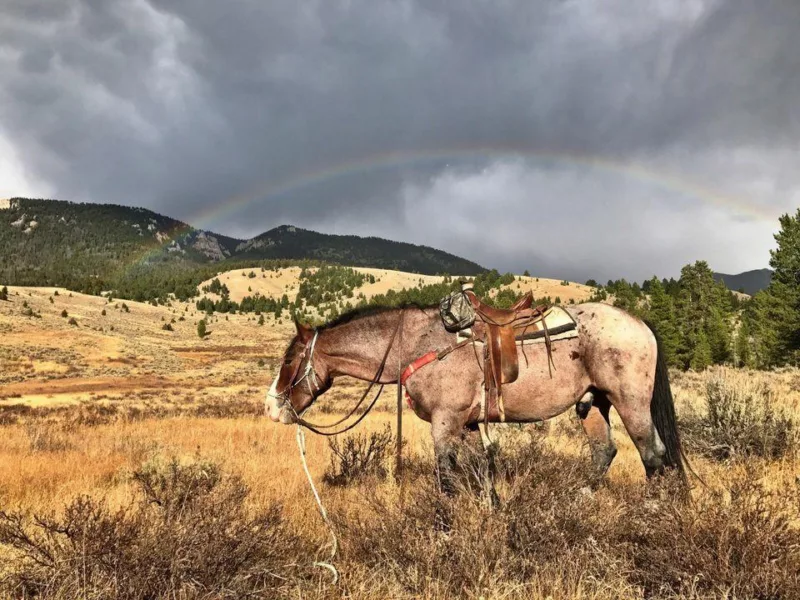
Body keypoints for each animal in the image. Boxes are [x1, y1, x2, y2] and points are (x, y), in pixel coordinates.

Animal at [266, 302, 684, 496]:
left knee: (653, 455)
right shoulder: (466, 425)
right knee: (605, 451)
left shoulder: (445, 421)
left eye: (288, 359)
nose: (271, 406)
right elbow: (473, 475)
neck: (417, 344)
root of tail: (640, 323)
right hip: (593, 403)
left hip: (630, 403)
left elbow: (446, 479)